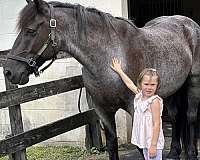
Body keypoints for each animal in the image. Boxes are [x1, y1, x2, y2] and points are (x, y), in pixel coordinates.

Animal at [3, 0, 200, 160]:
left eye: (30, 30)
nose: (9, 72)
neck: (110, 56)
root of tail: (188, 23)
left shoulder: (134, 107)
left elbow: (141, 146)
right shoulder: (102, 110)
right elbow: (112, 143)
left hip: (192, 83)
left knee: (190, 116)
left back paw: (191, 153)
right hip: (171, 90)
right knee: (175, 116)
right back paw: (174, 152)